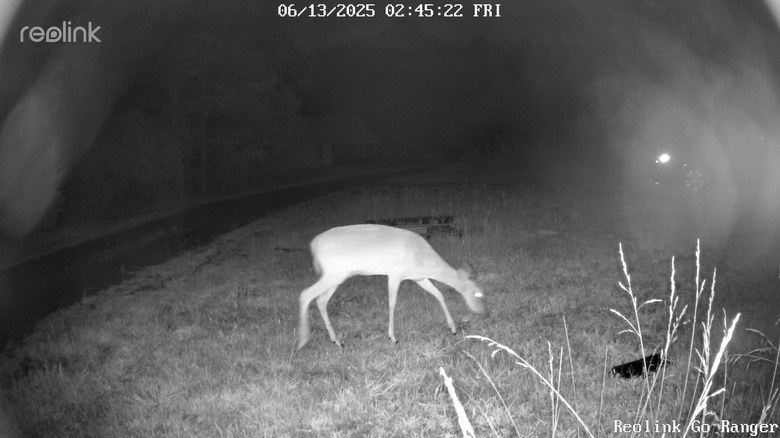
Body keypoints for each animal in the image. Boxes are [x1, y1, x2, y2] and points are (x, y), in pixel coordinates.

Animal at [297, 224, 486, 350]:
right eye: (478, 294)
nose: (483, 312)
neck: (422, 258)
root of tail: (312, 245)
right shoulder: (395, 273)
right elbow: (392, 303)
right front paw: (392, 337)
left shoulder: (418, 277)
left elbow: (438, 294)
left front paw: (452, 328)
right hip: (334, 273)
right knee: (305, 294)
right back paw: (303, 340)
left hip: (336, 276)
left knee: (320, 300)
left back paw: (336, 340)